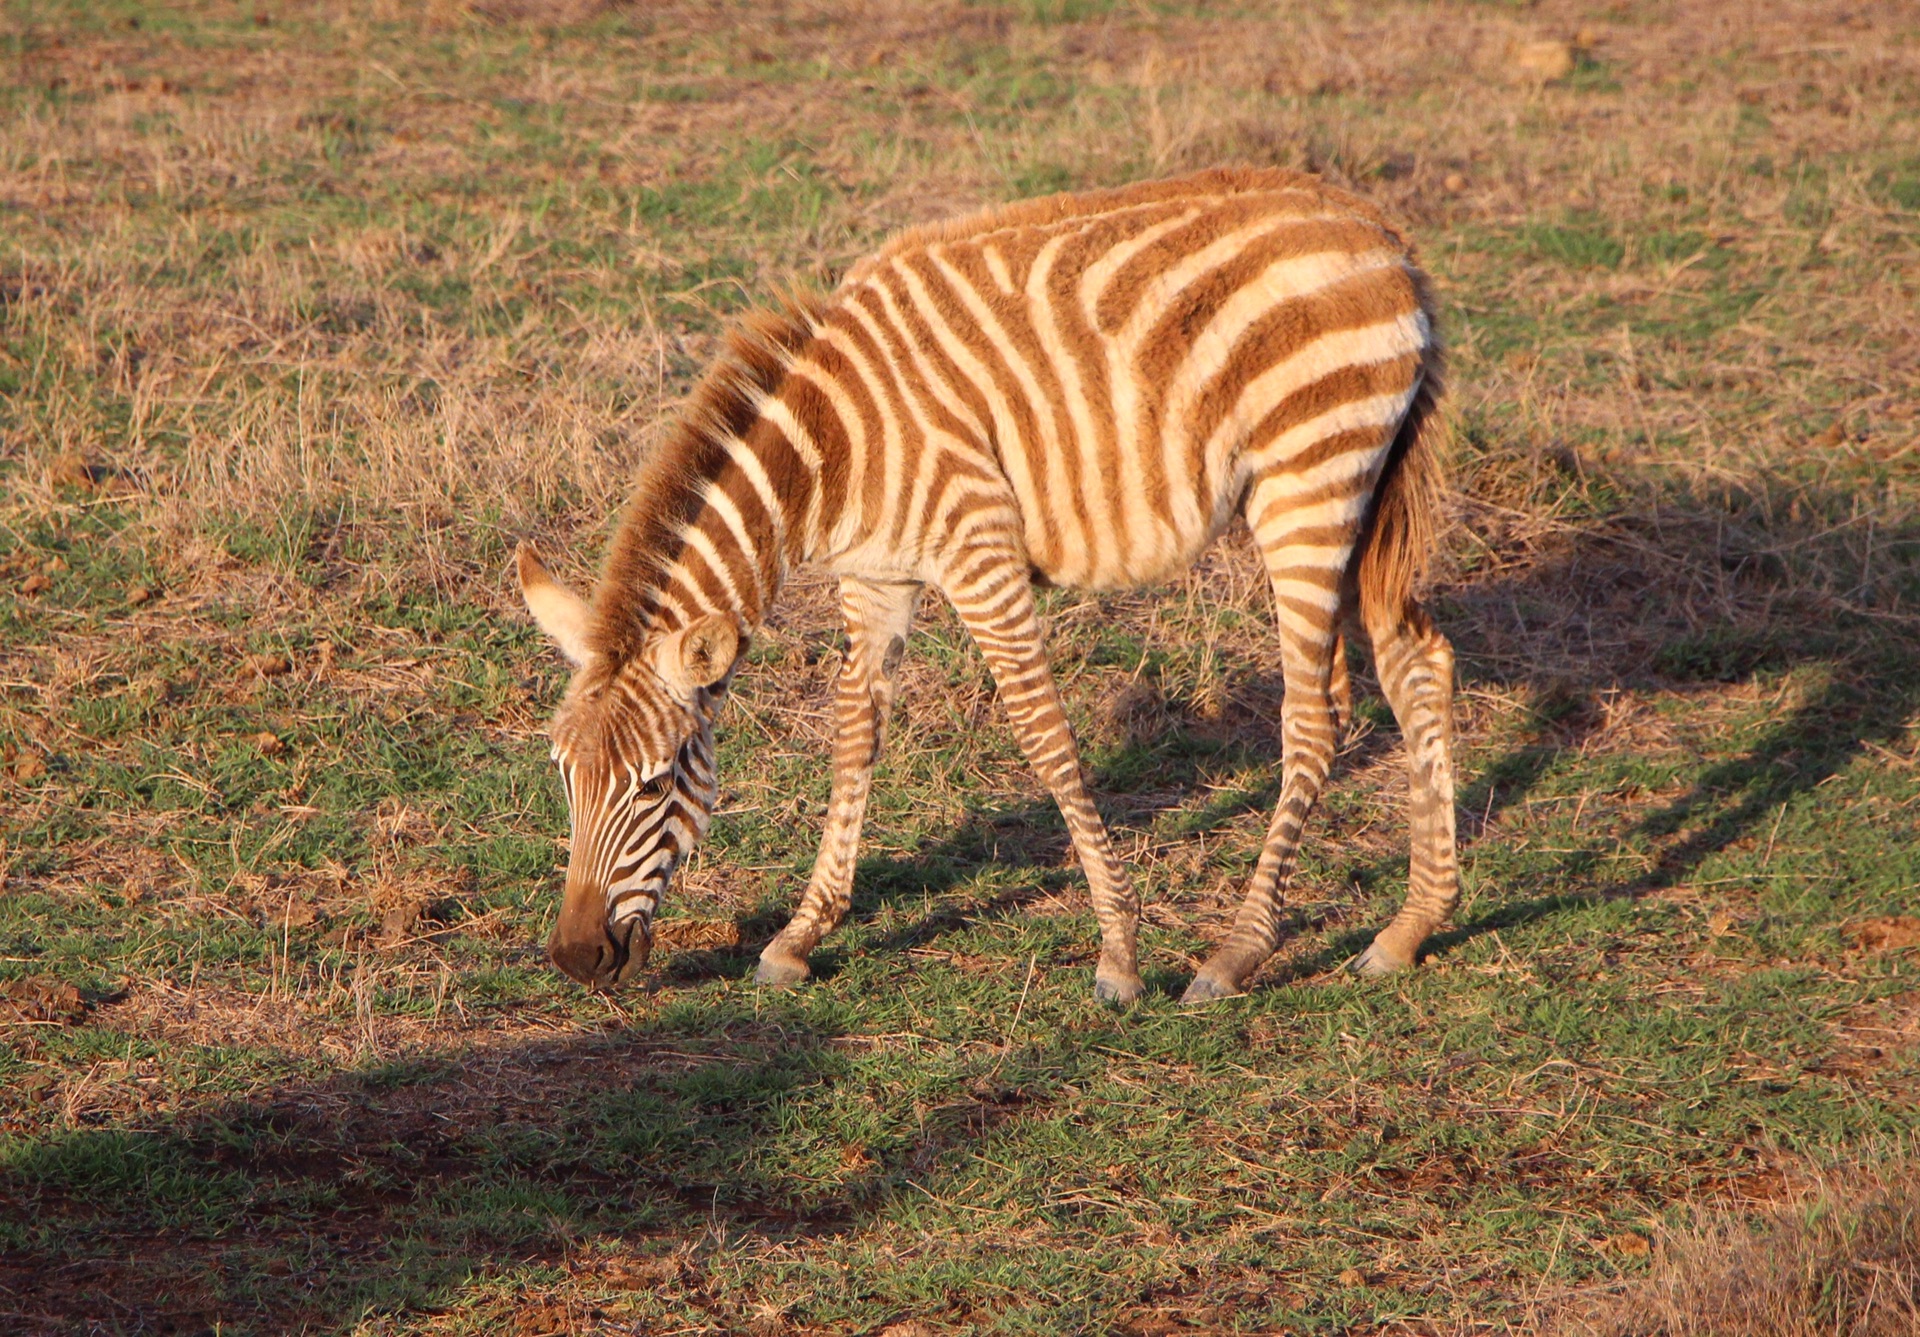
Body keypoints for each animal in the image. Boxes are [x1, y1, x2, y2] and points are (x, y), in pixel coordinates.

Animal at [514, 170, 1451, 998]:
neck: (834, 447)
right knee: (1420, 661)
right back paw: (1410, 930)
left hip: (1308, 484)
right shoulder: (876, 577)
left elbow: (1044, 736)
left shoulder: (980, 553)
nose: (575, 958)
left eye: (656, 782)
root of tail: (1383, 234)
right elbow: (854, 735)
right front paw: (799, 937)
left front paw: (1118, 954)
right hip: (1360, 491)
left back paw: (1237, 952)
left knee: (1317, 714)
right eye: (561, 775)